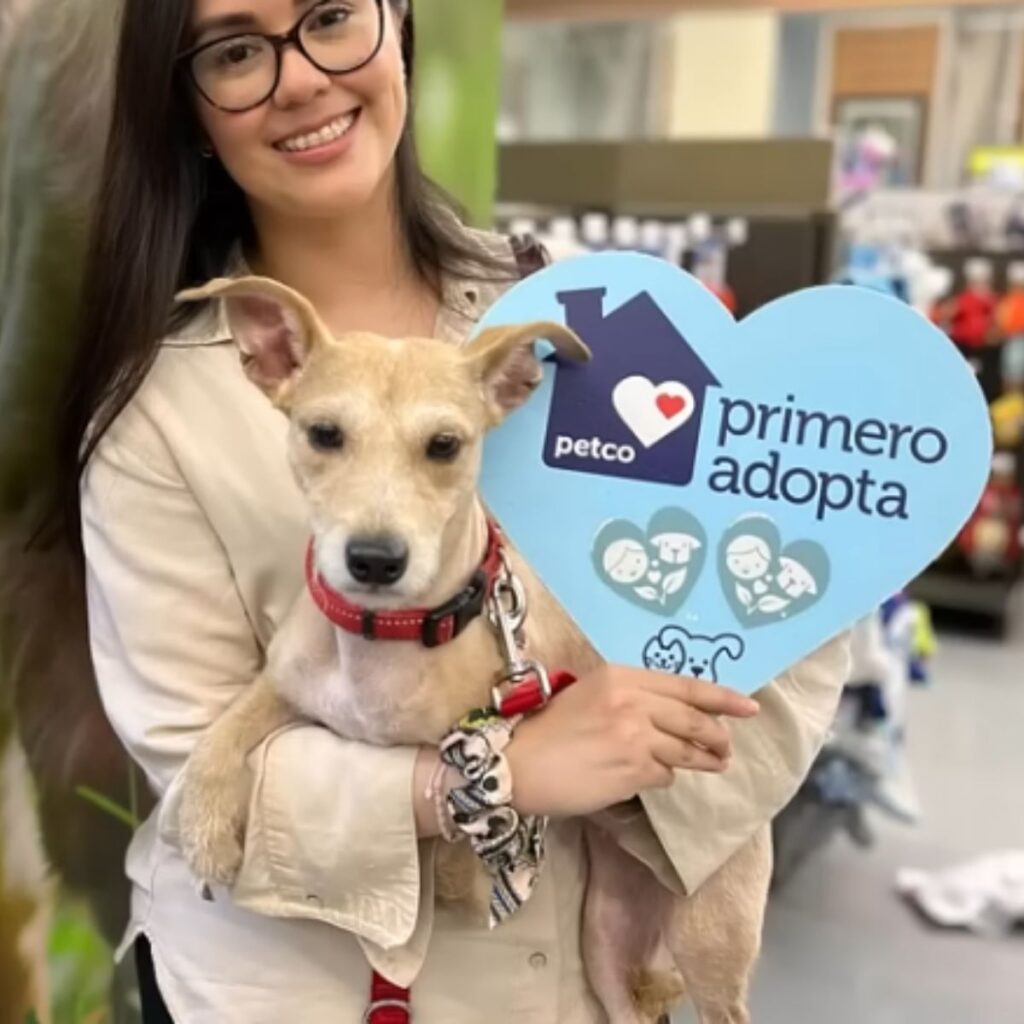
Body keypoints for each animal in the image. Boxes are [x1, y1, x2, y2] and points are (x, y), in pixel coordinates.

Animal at [174, 276, 770, 1024]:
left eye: (444, 445)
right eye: (323, 434)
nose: (375, 559)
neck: (386, 635)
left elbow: (458, 813)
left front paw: (466, 861)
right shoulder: (286, 686)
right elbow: (219, 735)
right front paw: (204, 826)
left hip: (709, 938)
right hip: (607, 943)